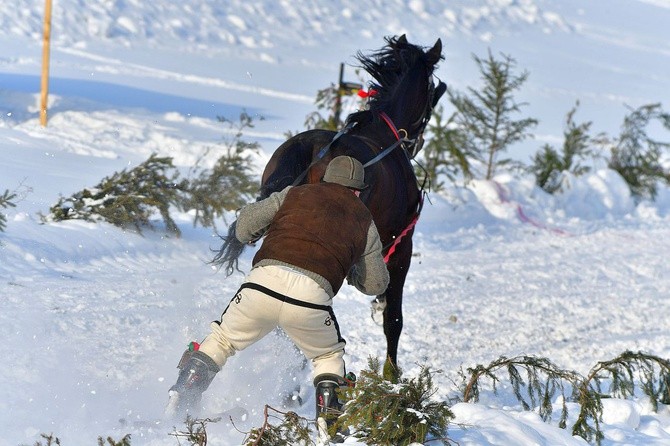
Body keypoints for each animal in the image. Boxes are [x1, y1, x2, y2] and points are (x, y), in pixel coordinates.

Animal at [215, 34, 446, 376]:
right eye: (431, 89)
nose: (416, 140)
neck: (384, 136)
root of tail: (313, 151)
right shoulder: (401, 247)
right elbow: (393, 319)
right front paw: (391, 375)